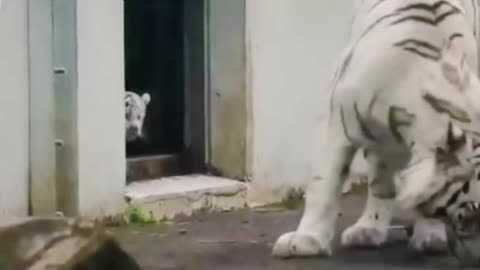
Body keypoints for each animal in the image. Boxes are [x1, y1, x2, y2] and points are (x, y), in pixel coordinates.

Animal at [272, 0, 480, 260]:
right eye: (469, 218)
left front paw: (431, 236)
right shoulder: (335, 124)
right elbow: (323, 185)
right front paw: (306, 240)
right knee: (380, 182)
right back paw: (367, 229)